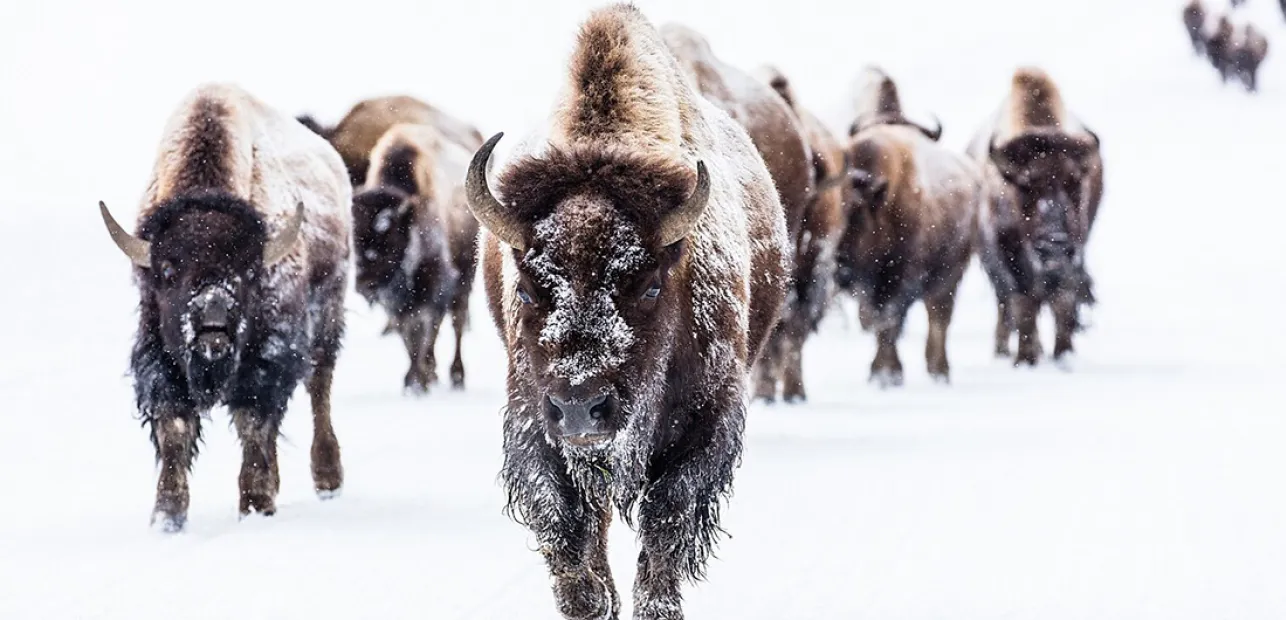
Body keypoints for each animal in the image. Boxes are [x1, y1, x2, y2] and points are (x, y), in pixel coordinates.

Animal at [98, 83, 350, 531]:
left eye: (249, 270)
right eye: (167, 271)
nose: (212, 328)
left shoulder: (266, 360)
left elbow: (253, 423)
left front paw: (255, 504)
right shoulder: (159, 357)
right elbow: (175, 427)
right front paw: (167, 516)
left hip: (328, 319)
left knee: (319, 388)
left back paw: (327, 480)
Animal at [352, 123, 481, 393]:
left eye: (389, 240)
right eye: (353, 239)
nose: (362, 284)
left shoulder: (433, 286)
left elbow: (424, 331)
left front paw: (417, 381)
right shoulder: (395, 300)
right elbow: (406, 333)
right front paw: (415, 379)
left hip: (465, 277)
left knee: (457, 321)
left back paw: (457, 376)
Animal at [466, 5, 789, 618]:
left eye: (648, 286)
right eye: (526, 289)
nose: (580, 408)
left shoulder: (708, 422)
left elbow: (667, 520)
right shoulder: (534, 424)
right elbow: (565, 526)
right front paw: (593, 600)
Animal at [968, 67, 1105, 366]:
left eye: (1074, 182)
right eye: (1025, 186)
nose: (1054, 244)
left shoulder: (1074, 253)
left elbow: (1063, 302)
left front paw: (1064, 354)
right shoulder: (1009, 258)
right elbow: (1024, 305)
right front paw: (1026, 358)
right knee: (1007, 304)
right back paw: (1004, 350)